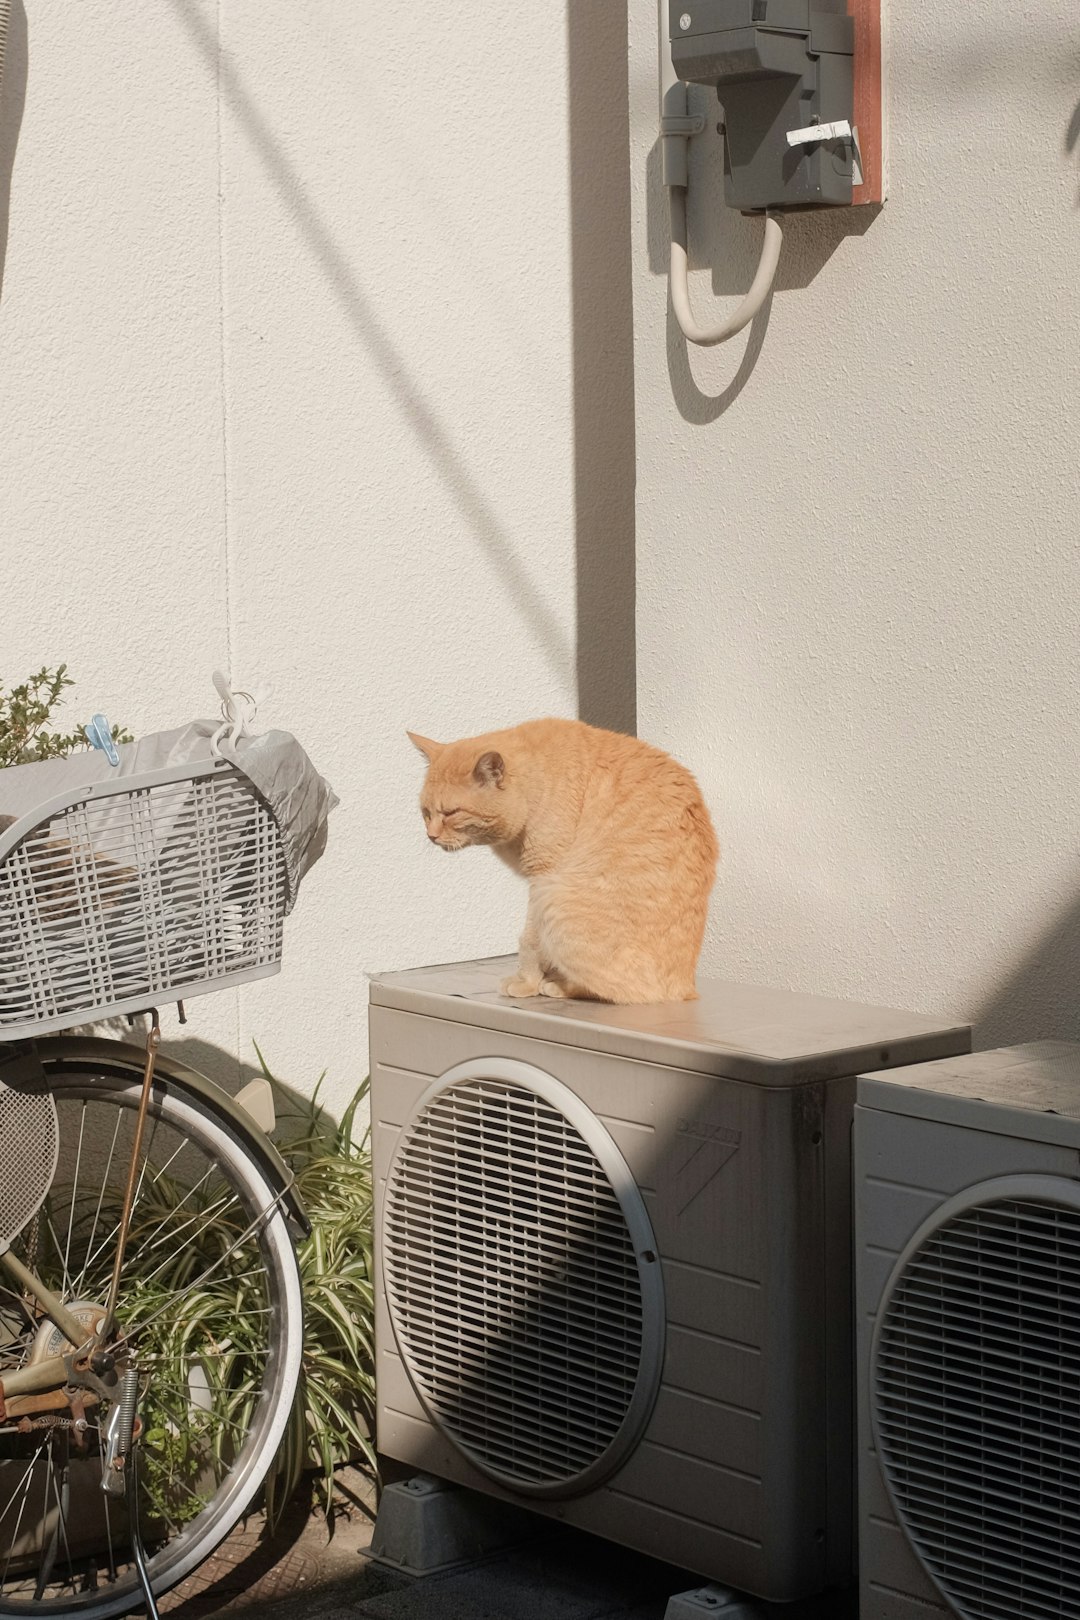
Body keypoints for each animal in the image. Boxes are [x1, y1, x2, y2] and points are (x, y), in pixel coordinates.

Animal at [404, 719, 718, 997]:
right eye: (426, 812)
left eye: (451, 813)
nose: (431, 835)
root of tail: (687, 988)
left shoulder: (541, 878)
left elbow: (529, 940)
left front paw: (526, 982)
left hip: (555, 897)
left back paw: (558, 985)